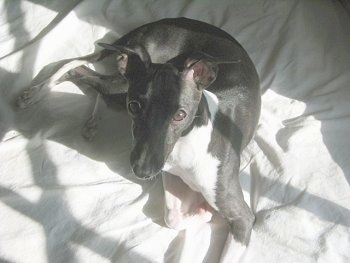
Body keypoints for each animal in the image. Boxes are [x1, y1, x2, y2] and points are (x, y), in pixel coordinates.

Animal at [17, 17, 262, 260]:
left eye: (180, 115)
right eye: (134, 106)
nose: (142, 171)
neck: (189, 142)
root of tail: (154, 24)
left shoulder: (241, 217)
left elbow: (172, 217)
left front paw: (203, 212)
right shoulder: (167, 169)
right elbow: (171, 216)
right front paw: (205, 213)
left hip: (121, 87)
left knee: (86, 74)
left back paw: (87, 119)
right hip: (123, 84)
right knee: (78, 67)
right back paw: (35, 94)